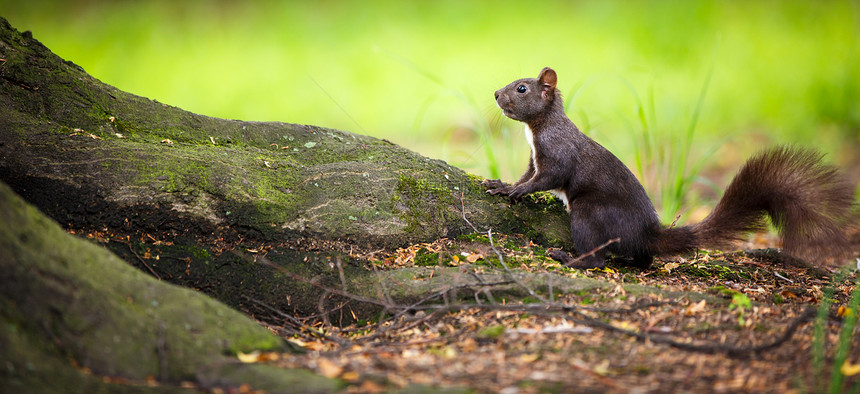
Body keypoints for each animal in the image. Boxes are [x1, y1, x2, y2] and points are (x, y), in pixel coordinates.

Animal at [484, 67, 852, 270]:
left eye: (522, 88)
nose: (496, 93)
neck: (538, 127)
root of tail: (648, 233)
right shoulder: (534, 158)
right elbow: (528, 174)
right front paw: (503, 185)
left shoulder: (558, 154)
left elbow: (548, 178)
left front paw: (516, 191)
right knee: (640, 259)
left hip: (589, 213)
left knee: (597, 257)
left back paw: (566, 257)